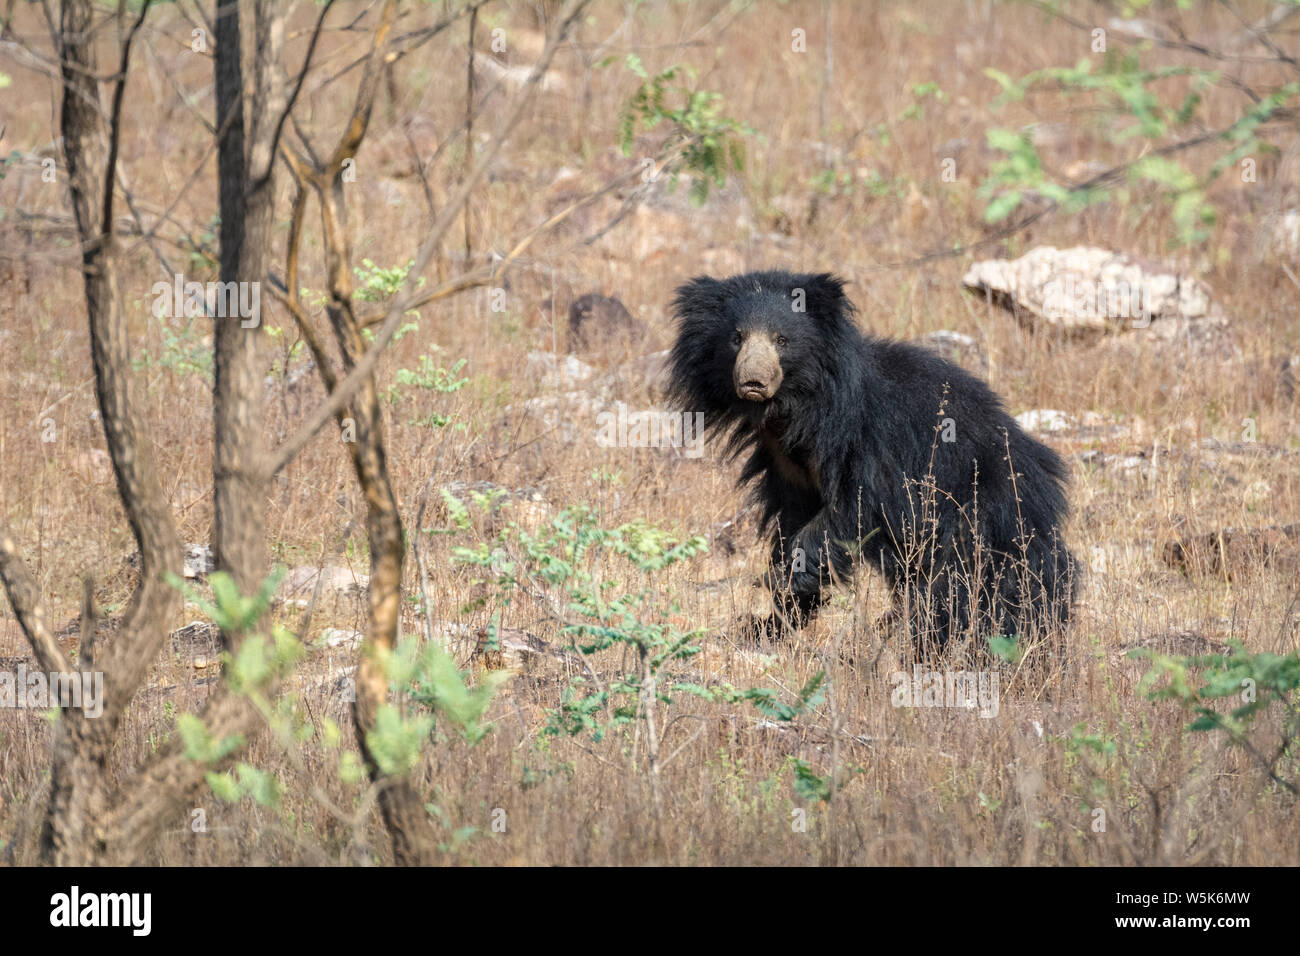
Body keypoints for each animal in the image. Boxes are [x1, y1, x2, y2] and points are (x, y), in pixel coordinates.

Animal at [670, 269, 1076, 650]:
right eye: (736, 338)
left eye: (781, 340)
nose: (753, 381)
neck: (798, 407)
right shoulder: (785, 461)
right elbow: (794, 515)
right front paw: (771, 618)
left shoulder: (874, 443)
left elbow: (856, 508)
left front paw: (782, 582)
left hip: (983, 513)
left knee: (979, 584)